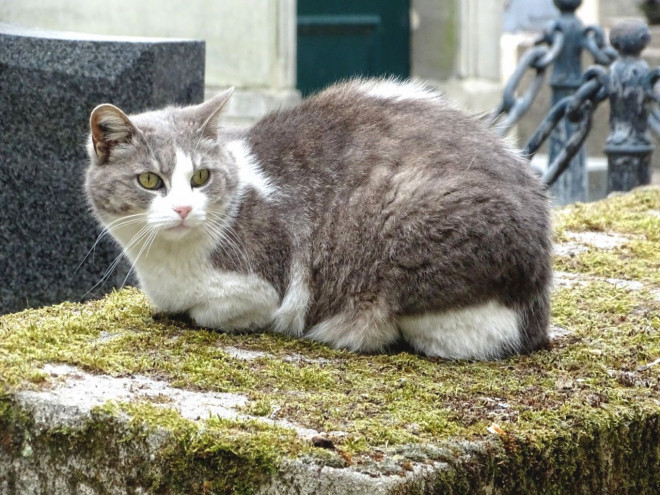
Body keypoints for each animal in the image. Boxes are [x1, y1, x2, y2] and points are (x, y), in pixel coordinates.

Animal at [86, 79, 552, 362]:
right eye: (150, 180)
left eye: (200, 177)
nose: (184, 209)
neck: (166, 263)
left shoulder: (263, 285)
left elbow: (210, 312)